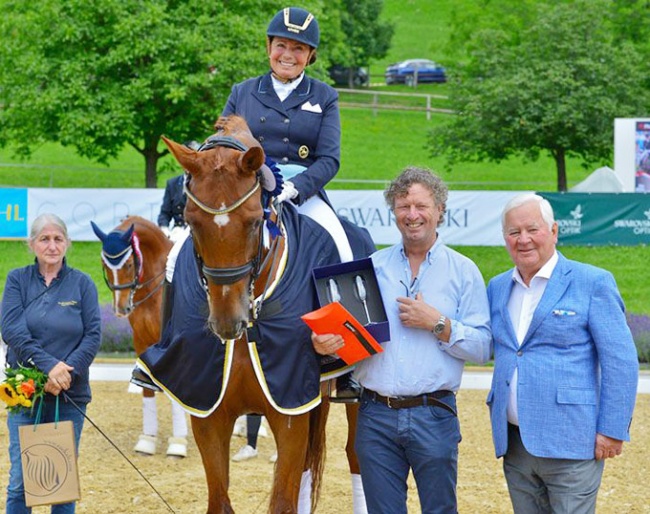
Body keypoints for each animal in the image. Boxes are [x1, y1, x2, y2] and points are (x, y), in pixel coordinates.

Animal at [90, 216, 189, 456]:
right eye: (105, 266)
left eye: (128, 264)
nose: (121, 308)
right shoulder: (140, 339)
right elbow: (147, 391)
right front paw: (147, 440)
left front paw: (178, 443)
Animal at [135, 117, 370, 512]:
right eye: (191, 221)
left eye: (254, 221)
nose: (227, 322)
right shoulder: (208, 412)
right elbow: (220, 500)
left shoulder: (289, 411)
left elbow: (284, 498)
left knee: (356, 455)